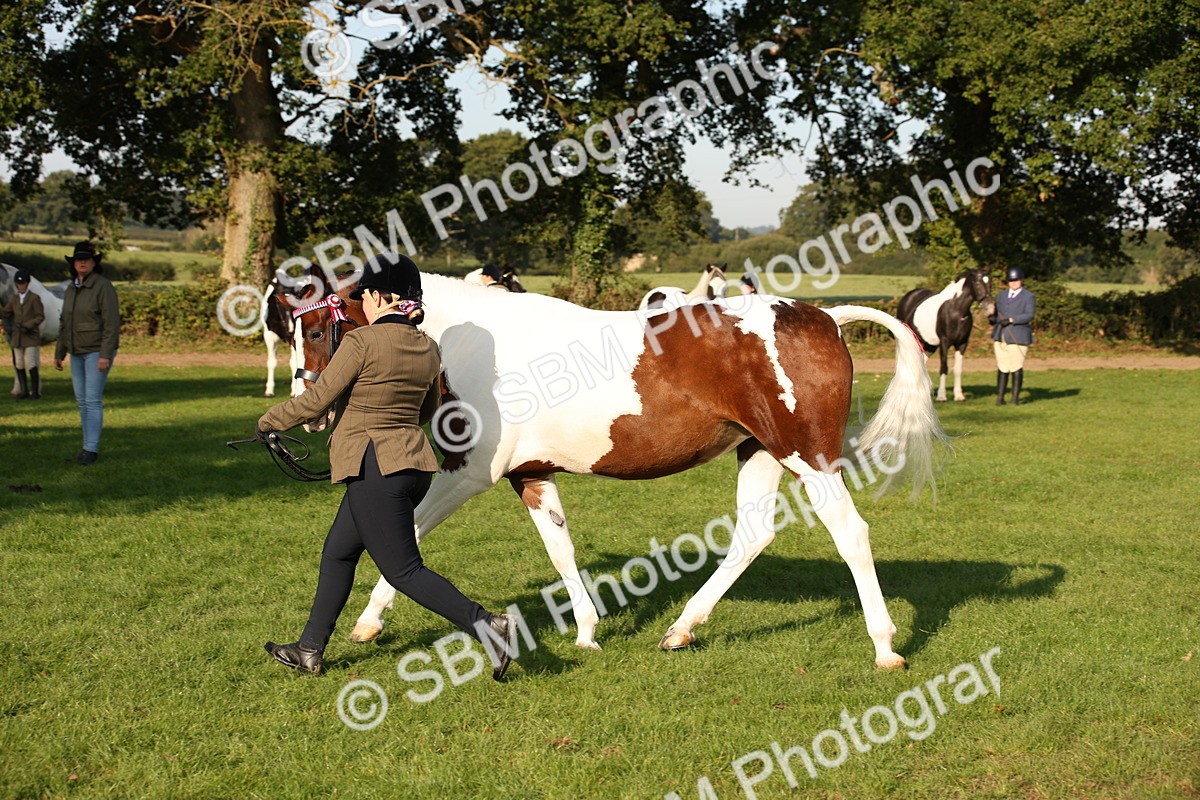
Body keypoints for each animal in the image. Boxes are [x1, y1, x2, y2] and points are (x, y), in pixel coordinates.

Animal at [284, 268, 947, 670]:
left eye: (316, 329)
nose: (305, 405)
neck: (475, 345)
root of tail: (827, 317)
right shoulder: (531, 474)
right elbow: (561, 549)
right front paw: (585, 631)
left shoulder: (466, 473)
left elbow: (406, 541)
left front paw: (367, 624)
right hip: (759, 452)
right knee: (753, 536)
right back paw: (681, 629)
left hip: (807, 457)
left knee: (850, 534)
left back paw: (886, 648)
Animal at [897, 268, 995, 402]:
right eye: (977, 283)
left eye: (990, 283)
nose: (990, 309)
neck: (956, 310)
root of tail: (908, 297)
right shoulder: (945, 343)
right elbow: (944, 367)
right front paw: (941, 396)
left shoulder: (962, 344)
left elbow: (958, 369)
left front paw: (959, 395)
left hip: (929, 345)